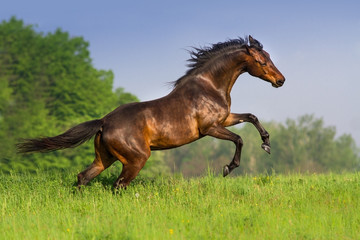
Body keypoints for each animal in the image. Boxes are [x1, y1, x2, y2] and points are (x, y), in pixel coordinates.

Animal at [18, 36, 286, 189]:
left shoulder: (225, 118)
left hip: (105, 158)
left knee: (84, 177)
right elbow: (239, 139)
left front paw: (266, 144)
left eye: (269, 57)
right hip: (136, 159)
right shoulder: (210, 128)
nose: (281, 80)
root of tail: (104, 121)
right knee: (119, 184)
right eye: (262, 61)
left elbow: (251, 117)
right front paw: (228, 168)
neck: (209, 86)